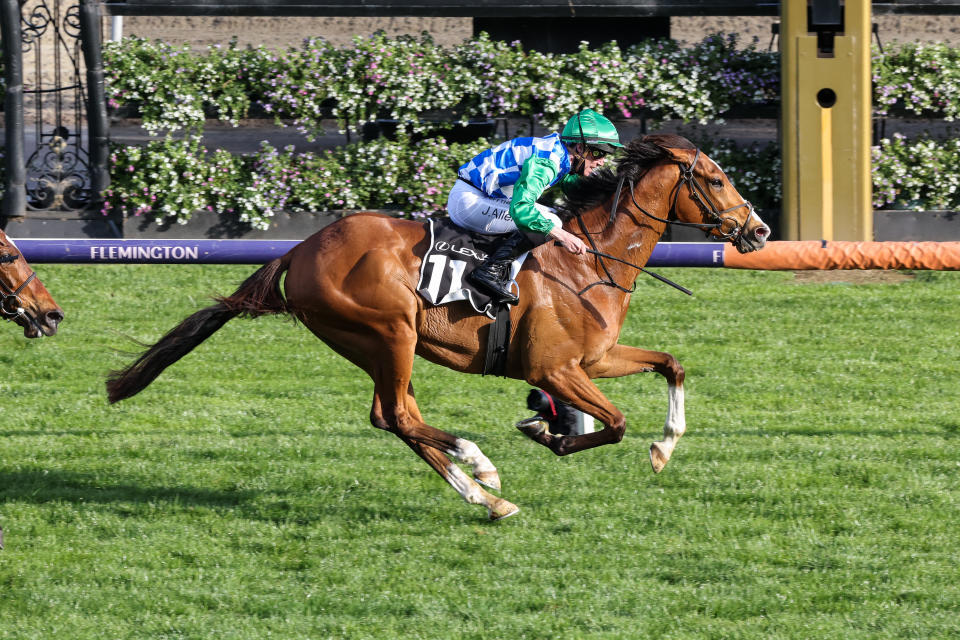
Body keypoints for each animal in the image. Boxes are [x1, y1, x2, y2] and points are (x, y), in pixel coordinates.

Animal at [105, 135, 768, 520]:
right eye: (714, 180)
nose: (758, 231)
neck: (591, 261)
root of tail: (301, 248)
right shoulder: (554, 367)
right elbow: (615, 423)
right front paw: (546, 432)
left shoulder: (594, 358)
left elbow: (670, 364)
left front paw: (664, 446)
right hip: (389, 332)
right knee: (398, 416)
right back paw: (482, 468)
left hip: (376, 346)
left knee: (398, 418)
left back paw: (486, 497)